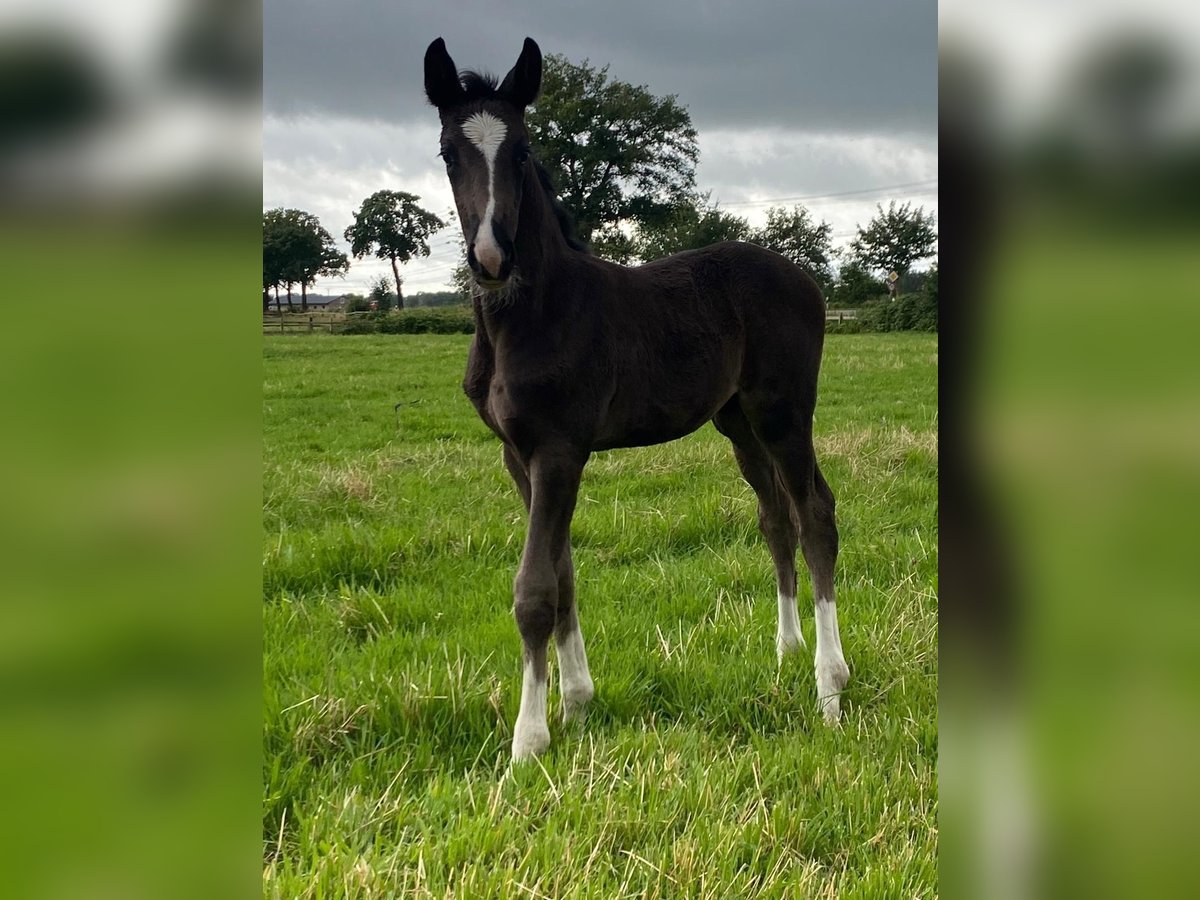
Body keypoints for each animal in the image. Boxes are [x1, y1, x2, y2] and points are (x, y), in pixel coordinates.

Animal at [427, 37, 849, 763]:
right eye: (450, 152)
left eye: (522, 150)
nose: (491, 257)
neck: (533, 314)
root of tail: (804, 278)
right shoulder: (518, 455)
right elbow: (563, 571)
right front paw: (576, 703)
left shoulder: (560, 450)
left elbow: (535, 588)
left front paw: (529, 740)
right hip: (737, 422)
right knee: (776, 518)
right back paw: (788, 650)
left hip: (783, 412)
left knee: (816, 515)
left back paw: (829, 688)